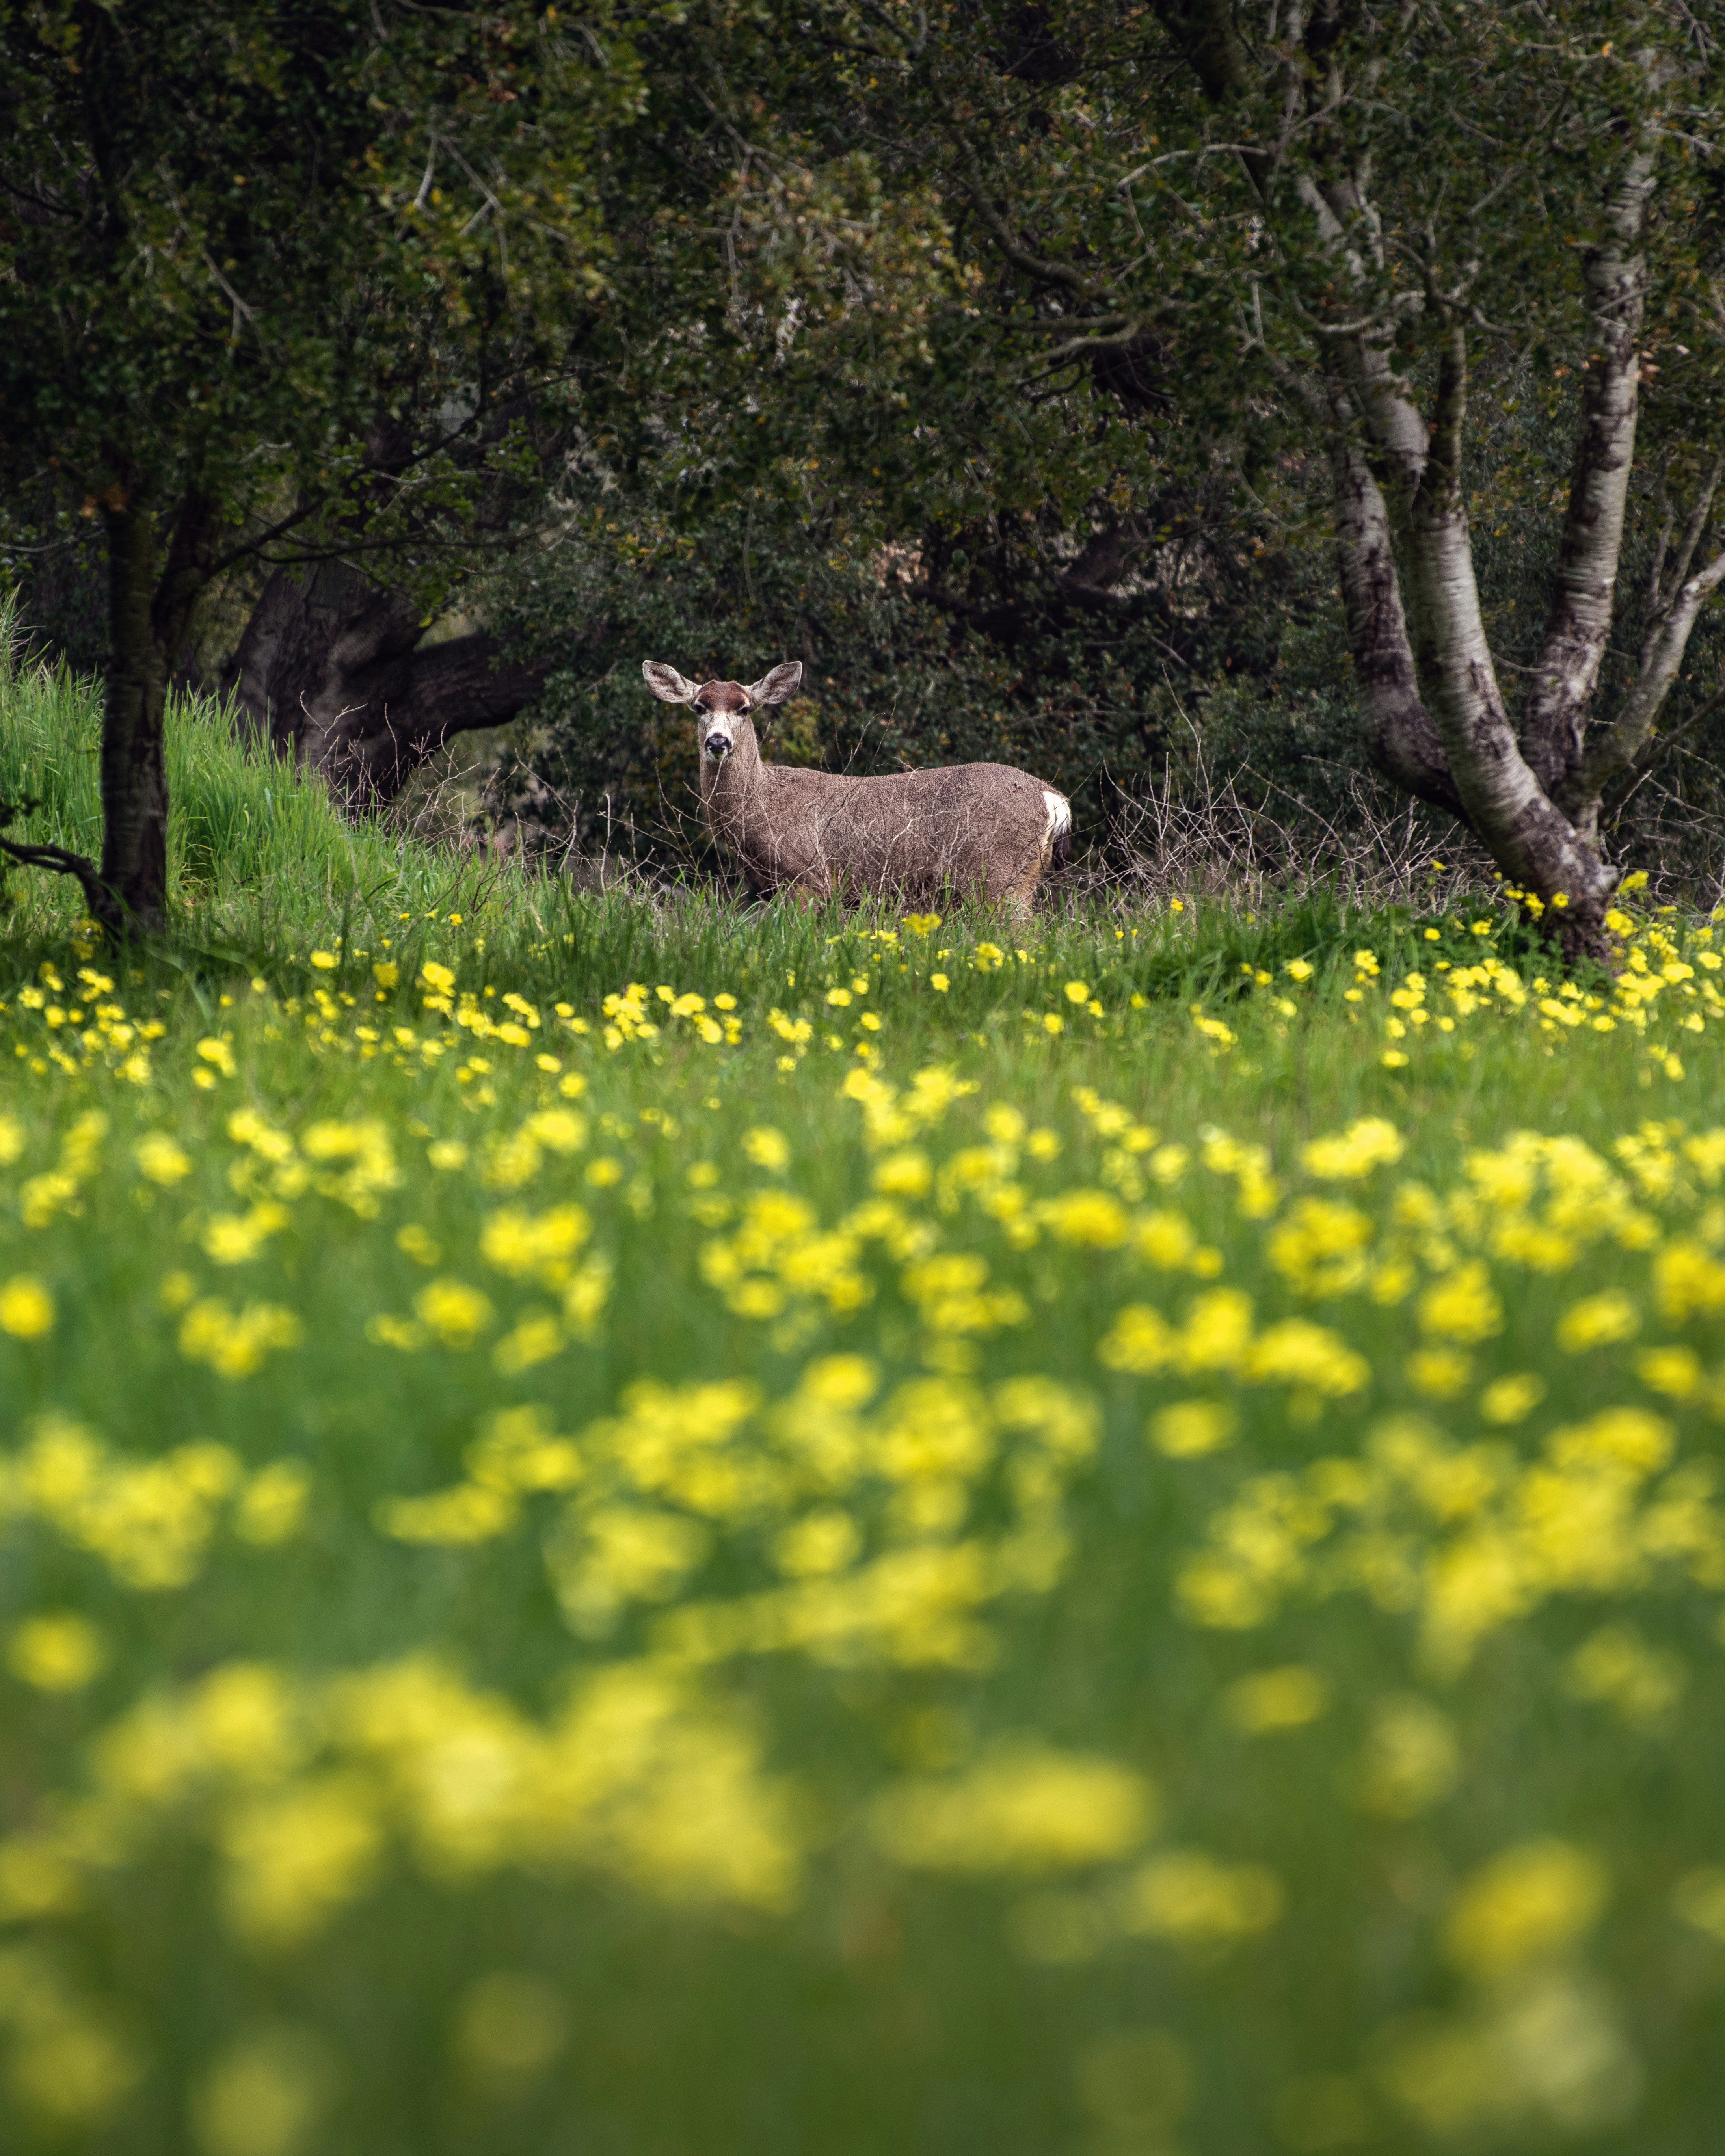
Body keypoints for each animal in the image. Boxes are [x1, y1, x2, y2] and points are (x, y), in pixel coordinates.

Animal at [641, 659, 1072, 914]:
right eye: (699, 706)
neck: (763, 803)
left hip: (998, 875)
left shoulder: (808, 876)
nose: (718, 742)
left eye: (744, 708)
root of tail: (1054, 800)